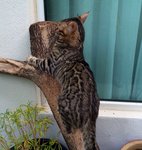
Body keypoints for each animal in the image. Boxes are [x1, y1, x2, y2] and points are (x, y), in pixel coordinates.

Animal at [27, 12, 100, 149]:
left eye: (58, 29)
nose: (55, 29)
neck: (76, 46)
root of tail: (90, 116)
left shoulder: (49, 63)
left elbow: (39, 61)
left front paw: (31, 58)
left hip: (62, 101)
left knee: (70, 128)